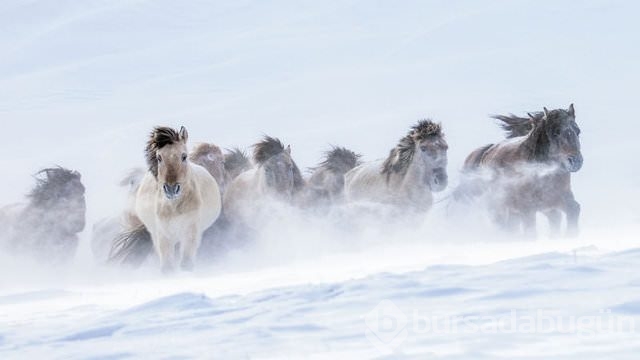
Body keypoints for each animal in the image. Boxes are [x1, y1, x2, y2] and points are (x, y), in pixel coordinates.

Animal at [109, 125, 221, 272]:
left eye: (184, 156)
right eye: (159, 158)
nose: (171, 189)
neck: (174, 207)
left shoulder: (191, 231)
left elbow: (186, 262)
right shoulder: (162, 234)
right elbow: (167, 266)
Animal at [456, 104, 584, 238]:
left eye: (578, 131)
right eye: (555, 132)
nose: (576, 161)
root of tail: (487, 151)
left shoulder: (556, 205)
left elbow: (574, 210)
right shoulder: (527, 210)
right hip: (500, 210)